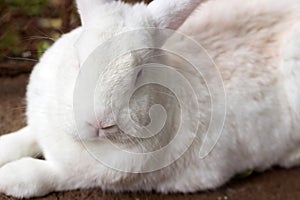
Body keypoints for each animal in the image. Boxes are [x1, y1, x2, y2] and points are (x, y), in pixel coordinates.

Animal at [0, 0, 300, 198]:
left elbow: (48, 175)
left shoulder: (84, 175)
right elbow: (23, 137)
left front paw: (8, 178)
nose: (99, 121)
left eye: (140, 73)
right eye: (77, 60)